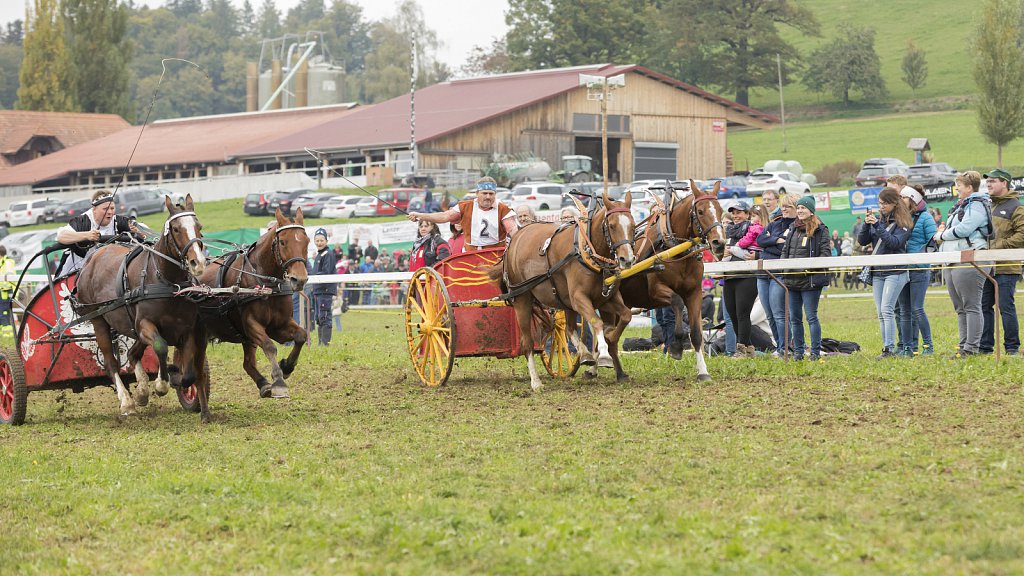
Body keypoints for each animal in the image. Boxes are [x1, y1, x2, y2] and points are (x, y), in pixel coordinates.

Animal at [75, 195, 209, 416]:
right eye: (176, 229)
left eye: (199, 226)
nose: (197, 263)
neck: (166, 282)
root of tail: (93, 258)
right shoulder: (145, 325)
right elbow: (161, 347)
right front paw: (161, 384)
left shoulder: (187, 329)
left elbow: (189, 373)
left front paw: (173, 379)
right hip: (99, 320)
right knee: (111, 363)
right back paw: (127, 401)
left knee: (132, 354)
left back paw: (141, 392)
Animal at [197, 207, 309, 399]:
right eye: (283, 242)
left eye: (307, 241)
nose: (299, 279)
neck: (265, 282)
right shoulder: (251, 324)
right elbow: (269, 346)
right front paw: (279, 381)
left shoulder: (278, 325)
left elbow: (301, 336)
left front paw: (286, 367)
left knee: (248, 363)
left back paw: (263, 384)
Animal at [487, 190, 630, 387]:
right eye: (612, 225)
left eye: (633, 224)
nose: (627, 259)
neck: (588, 251)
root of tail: (514, 240)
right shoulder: (579, 298)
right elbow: (597, 322)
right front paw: (604, 354)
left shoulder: (606, 298)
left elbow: (625, 316)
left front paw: (609, 340)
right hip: (522, 299)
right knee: (527, 342)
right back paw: (536, 382)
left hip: (564, 300)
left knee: (567, 328)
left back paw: (584, 354)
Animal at [614, 177, 729, 379]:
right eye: (700, 211)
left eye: (721, 210)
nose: (719, 243)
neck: (674, 250)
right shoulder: (656, 291)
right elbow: (677, 302)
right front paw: (676, 346)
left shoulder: (694, 292)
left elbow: (697, 333)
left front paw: (703, 372)